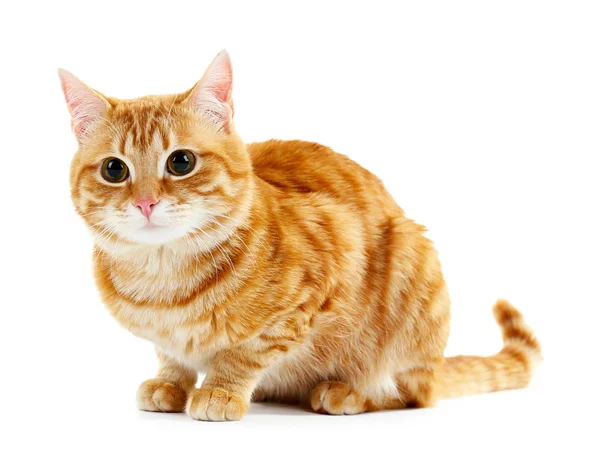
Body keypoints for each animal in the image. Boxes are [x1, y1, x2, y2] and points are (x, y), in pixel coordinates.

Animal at [58, 49, 540, 420]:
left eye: (180, 162)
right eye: (114, 169)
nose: (145, 203)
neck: (163, 279)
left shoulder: (314, 285)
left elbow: (244, 353)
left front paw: (220, 389)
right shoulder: (165, 339)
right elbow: (171, 356)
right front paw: (171, 382)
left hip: (411, 261)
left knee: (411, 393)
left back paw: (350, 391)